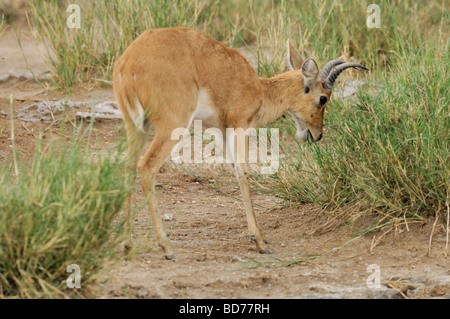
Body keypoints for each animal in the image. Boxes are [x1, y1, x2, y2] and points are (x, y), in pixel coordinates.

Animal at [112, 28, 366, 262]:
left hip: (136, 126)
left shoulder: (220, 130)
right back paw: (166, 248)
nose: (317, 135)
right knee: (146, 167)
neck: (259, 89)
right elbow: (244, 173)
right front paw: (260, 242)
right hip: (172, 125)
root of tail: (128, 63)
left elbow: (235, 170)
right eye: (323, 97)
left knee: (128, 167)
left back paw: (127, 244)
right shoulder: (240, 125)